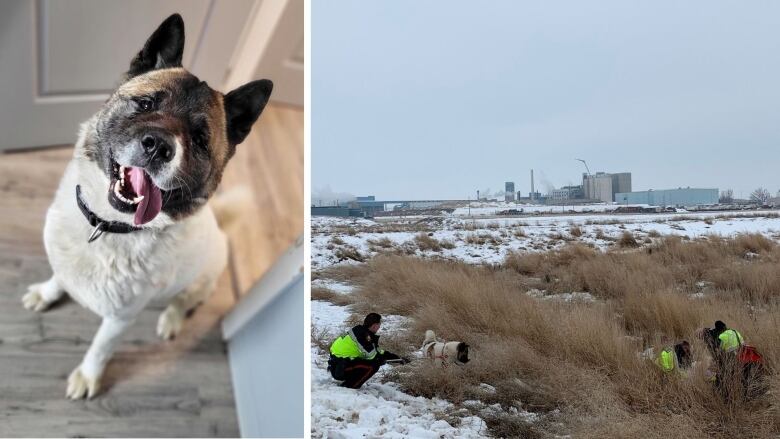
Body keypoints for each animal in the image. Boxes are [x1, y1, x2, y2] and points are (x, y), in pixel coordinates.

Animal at [20, 13, 274, 400]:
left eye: (200, 139)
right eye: (145, 105)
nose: (158, 147)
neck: (108, 226)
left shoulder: (119, 319)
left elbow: (100, 348)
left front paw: (89, 376)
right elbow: (59, 277)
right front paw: (48, 293)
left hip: (199, 282)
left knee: (184, 302)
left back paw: (171, 319)